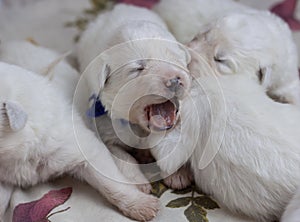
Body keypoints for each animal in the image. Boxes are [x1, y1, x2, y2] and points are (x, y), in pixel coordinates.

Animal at [76, 3, 191, 189]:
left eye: (175, 58)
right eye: (138, 69)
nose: (175, 80)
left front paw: (178, 174)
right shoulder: (107, 132)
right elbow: (125, 158)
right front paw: (139, 182)